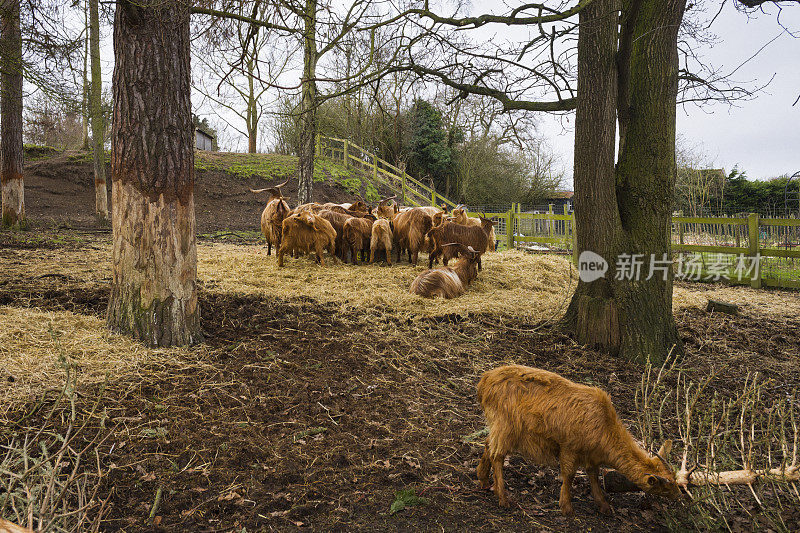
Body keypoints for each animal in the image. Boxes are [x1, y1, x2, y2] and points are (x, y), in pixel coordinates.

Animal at [478, 364, 680, 512]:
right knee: (497, 455)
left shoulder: (591, 456)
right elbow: (569, 474)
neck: (604, 426)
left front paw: (604, 506)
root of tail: (485, 381)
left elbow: (594, 475)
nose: (680, 495)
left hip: (497, 425)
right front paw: (566, 507)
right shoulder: (569, 447)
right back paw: (502, 497)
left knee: (488, 443)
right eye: (665, 486)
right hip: (507, 426)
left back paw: (483, 481)